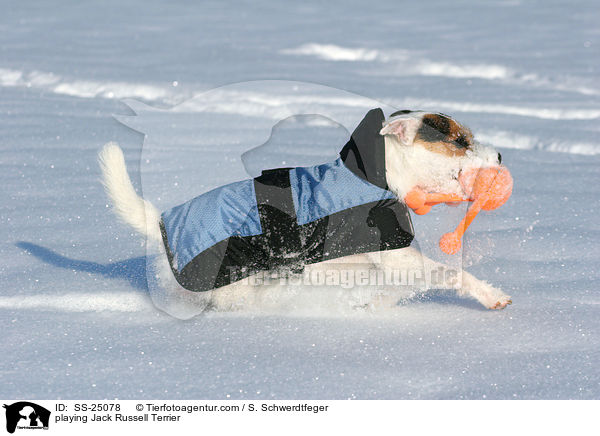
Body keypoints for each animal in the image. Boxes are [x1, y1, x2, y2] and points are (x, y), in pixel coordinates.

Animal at [98, 108, 510, 314]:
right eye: (459, 141)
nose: (501, 156)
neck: (380, 176)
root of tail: (162, 227)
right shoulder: (398, 258)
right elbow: (451, 274)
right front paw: (491, 295)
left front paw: (374, 303)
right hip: (237, 284)